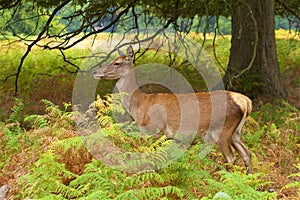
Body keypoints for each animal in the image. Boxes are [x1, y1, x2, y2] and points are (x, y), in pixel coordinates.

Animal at [93, 45, 253, 173]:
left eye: (117, 63)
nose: (95, 72)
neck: (140, 107)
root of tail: (246, 102)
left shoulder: (155, 130)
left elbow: (153, 157)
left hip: (222, 130)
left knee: (231, 158)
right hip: (236, 132)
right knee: (247, 154)